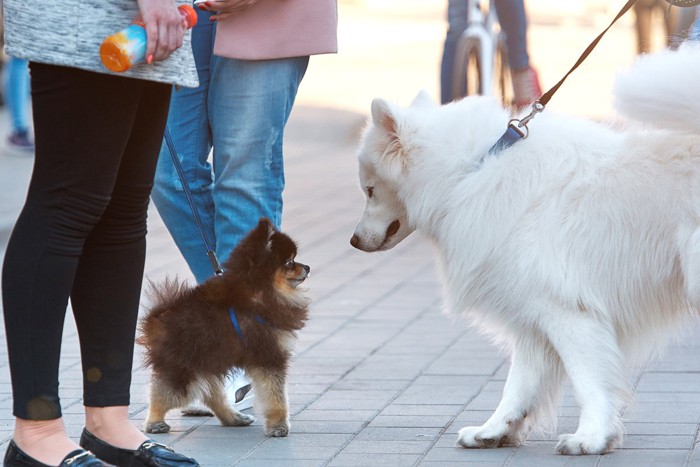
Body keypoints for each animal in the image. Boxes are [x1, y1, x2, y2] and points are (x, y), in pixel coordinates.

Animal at [137, 219, 308, 438]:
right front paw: (279, 425)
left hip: (208, 361)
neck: (261, 291)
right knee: (165, 393)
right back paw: (155, 422)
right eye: (289, 263)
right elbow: (276, 396)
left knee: (211, 395)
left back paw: (234, 418)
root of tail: (158, 317)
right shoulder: (269, 356)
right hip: (186, 366)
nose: (307, 267)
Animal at [350, 43, 700, 454]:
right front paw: (494, 431)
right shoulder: (534, 319)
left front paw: (591, 437)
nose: (353, 241)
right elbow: (519, 386)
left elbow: (590, 382)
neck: (472, 170)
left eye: (370, 190)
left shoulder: (568, 312)